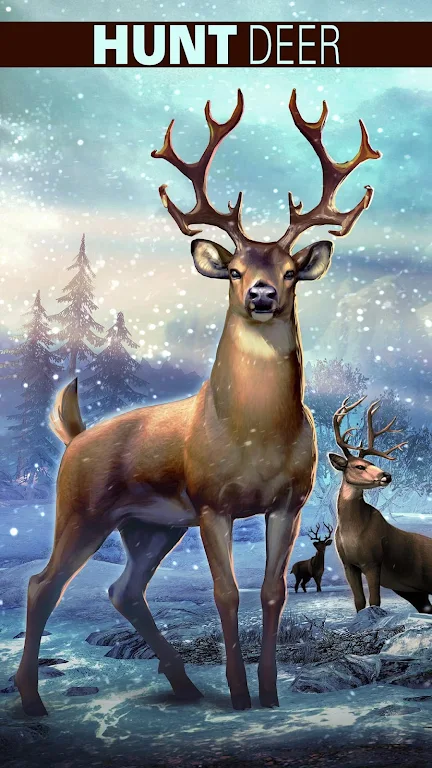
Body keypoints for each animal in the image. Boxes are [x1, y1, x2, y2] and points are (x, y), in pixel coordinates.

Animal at [15, 89, 381, 717]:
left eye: (291, 272)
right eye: (234, 270)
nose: (261, 294)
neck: (254, 436)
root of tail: (75, 437)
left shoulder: (290, 502)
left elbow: (271, 592)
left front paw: (268, 694)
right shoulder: (212, 501)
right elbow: (225, 592)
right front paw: (237, 694)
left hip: (152, 527)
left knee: (124, 589)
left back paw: (184, 684)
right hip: (82, 509)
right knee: (44, 584)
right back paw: (32, 700)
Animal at [329, 397, 432, 614]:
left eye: (372, 463)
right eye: (359, 466)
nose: (387, 475)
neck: (352, 531)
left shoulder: (373, 560)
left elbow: (375, 601)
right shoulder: (349, 565)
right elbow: (359, 602)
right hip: (414, 591)